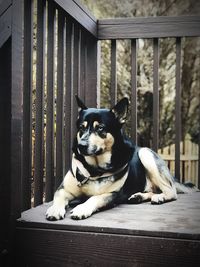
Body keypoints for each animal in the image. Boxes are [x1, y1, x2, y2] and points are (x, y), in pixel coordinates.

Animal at [45, 97, 195, 222]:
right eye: (81, 127)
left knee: (171, 191)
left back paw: (160, 197)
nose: (81, 145)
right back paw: (139, 196)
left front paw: (82, 208)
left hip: (145, 153)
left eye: (100, 128)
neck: (95, 169)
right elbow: (58, 197)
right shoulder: (64, 190)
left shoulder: (112, 195)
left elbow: (95, 197)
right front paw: (54, 209)